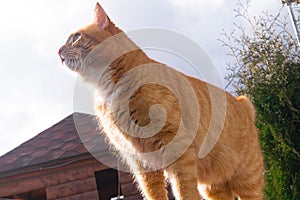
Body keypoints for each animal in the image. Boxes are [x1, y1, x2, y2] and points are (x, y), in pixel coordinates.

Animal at [58, 3, 262, 200]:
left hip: (247, 181)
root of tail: (242, 102)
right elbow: (153, 192)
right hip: (213, 188)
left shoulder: (177, 149)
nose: (58, 51)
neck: (108, 89)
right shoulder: (141, 163)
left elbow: (184, 191)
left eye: (75, 37)